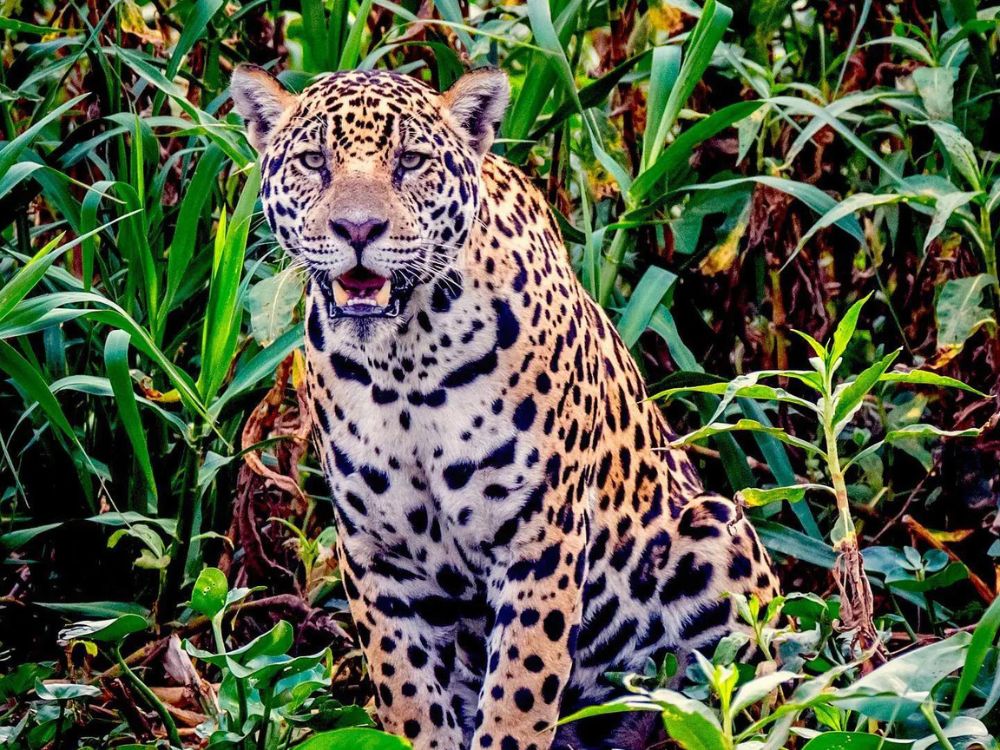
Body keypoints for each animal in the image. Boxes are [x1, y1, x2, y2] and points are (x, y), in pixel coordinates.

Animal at [231, 64, 780, 750]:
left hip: (718, 537)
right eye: (313, 161)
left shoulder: (539, 541)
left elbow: (520, 692)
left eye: (410, 162)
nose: (357, 230)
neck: (404, 364)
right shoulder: (375, 553)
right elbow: (407, 693)